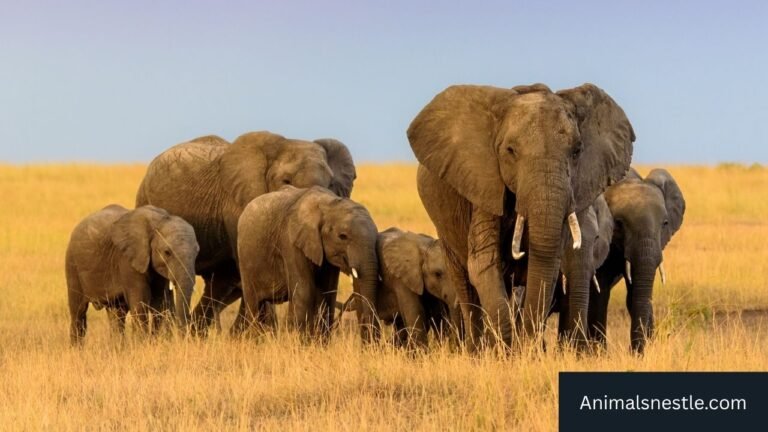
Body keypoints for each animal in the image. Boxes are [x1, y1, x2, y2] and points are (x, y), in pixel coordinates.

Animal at [65, 205, 199, 345]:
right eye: (167, 252)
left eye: (197, 252)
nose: (184, 338)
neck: (159, 220)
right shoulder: (126, 260)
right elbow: (140, 303)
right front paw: (143, 345)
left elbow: (160, 303)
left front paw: (156, 343)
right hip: (72, 265)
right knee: (78, 312)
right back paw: (76, 348)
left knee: (117, 314)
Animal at [235, 186, 379, 342]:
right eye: (343, 236)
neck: (328, 204)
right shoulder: (290, 242)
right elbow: (304, 291)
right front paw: (303, 344)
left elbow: (328, 292)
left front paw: (320, 344)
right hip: (245, 259)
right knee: (254, 304)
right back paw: (255, 341)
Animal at [589, 168, 685, 354]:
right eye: (618, 224)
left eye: (665, 223)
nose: (633, 352)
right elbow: (601, 291)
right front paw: (599, 354)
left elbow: (634, 294)